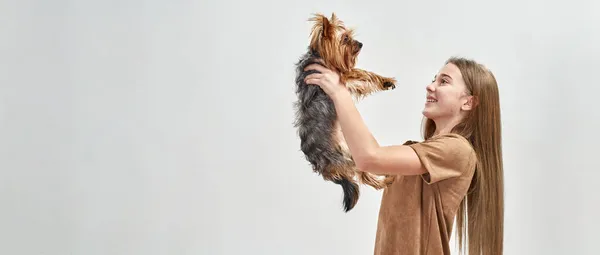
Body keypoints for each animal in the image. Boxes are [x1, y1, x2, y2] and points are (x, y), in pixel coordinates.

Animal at [292, 12, 396, 211]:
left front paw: (386, 80)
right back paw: (385, 181)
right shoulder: (340, 76)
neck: (320, 57)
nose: (360, 44)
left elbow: (363, 73)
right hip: (345, 159)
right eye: (346, 39)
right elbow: (359, 72)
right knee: (363, 176)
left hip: (349, 153)